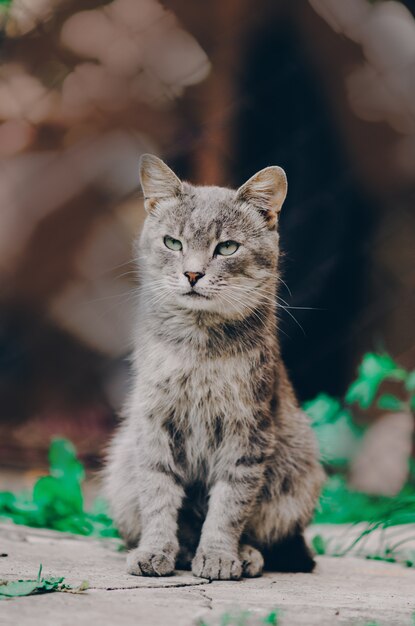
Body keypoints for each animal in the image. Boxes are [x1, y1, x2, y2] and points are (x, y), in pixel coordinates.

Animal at [104, 154, 324, 576]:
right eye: (173, 242)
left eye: (227, 247)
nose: (192, 273)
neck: (197, 348)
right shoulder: (154, 423)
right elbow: (158, 495)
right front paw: (156, 550)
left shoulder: (247, 432)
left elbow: (229, 505)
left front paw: (220, 555)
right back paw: (183, 551)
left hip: (298, 470)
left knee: (263, 533)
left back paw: (245, 555)